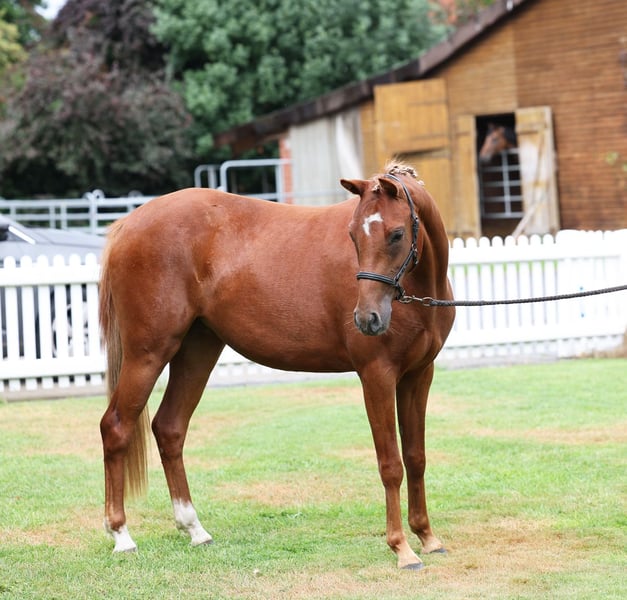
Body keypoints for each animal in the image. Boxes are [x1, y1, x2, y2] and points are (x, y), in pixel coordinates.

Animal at [98, 161, 455, 570]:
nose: (367, 319)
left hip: (197, 351)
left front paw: (427, 536)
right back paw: (121, 535)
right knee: (116, 427)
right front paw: (401, 548)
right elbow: (391, 464)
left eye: (396, 234)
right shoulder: (377, 376)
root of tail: (128, 224)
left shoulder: (418, 375)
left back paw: (194, 529)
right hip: (148, 353)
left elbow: (415, 457)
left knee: (170, 428)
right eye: (352, 235)